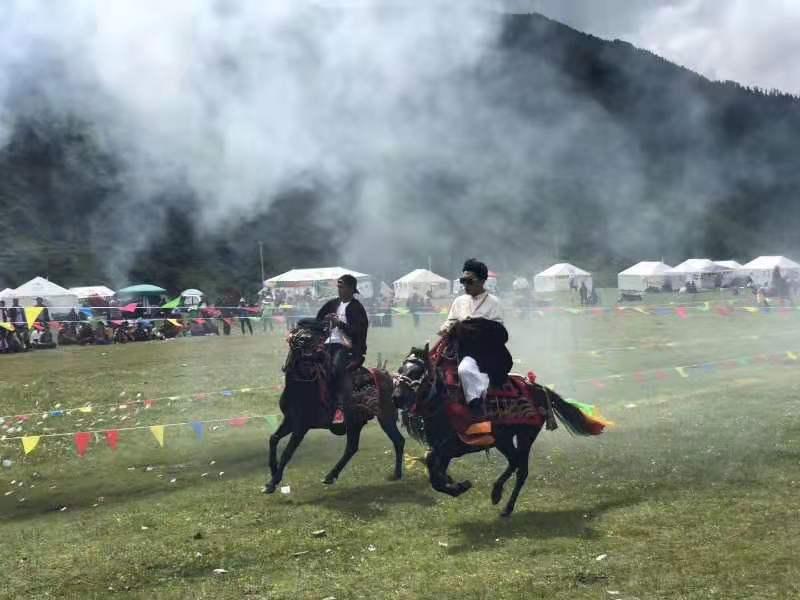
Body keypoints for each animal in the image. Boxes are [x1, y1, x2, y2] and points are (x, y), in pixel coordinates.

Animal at [264, 322, 404, 494]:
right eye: (297, 334)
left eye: (315, 337)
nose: (304, 340)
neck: (301, 387)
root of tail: (389, 377)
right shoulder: (290, 421)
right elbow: (273, 439)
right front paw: (273, 472)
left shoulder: (301, 427)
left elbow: (287, 453)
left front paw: (272, 483)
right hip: (355, 423)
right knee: (351, 448)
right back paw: (330, 476)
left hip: (385, 418)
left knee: (398, 441)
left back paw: (396, 474)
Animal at [392, 342, 608, 516]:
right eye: (401, 368)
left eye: (417, 372)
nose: (396, 397)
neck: (444, 404)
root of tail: (536, 387)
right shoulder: (441, 449)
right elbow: (434, 473)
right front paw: (457, 486)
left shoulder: (451, 447)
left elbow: (434, 470)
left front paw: (460, 486)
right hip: (503, 439)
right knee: (514, 462)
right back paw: (500, 497)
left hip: (525, 435)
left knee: (521, 469)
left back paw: (503, 501)